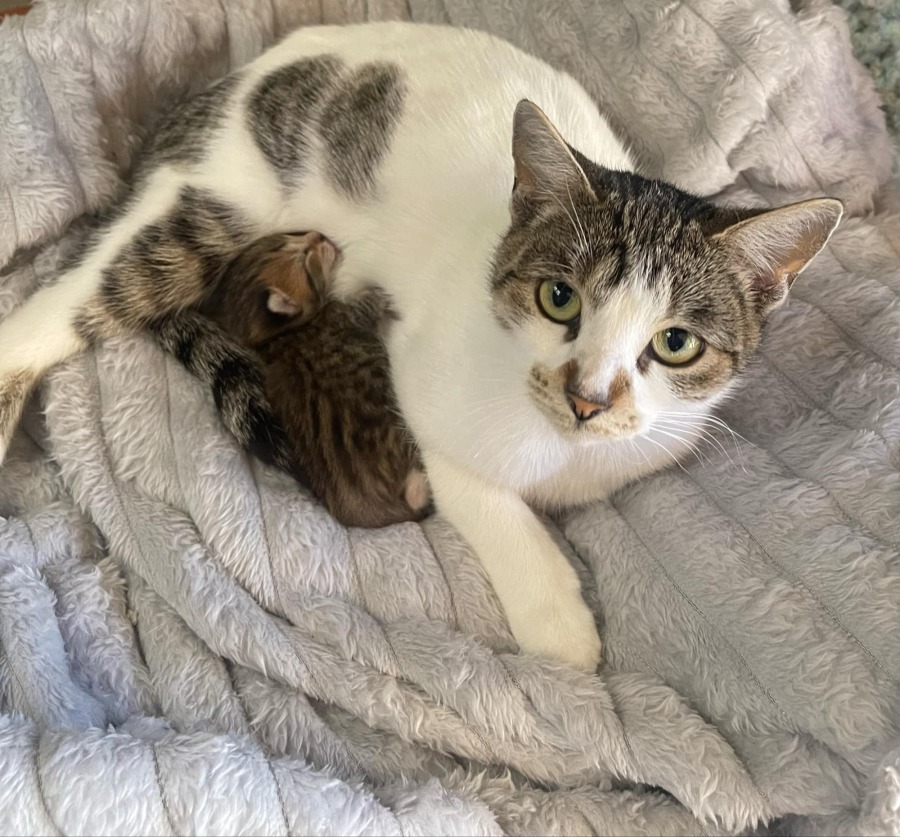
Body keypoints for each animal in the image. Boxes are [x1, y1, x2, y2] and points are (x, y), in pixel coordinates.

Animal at [195, 230, 429, 527]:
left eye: (291, 235)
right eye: (305, 260)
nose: (319, 235)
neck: (273, 337)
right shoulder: (350, 314)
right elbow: (367, 305)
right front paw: (378, 294)